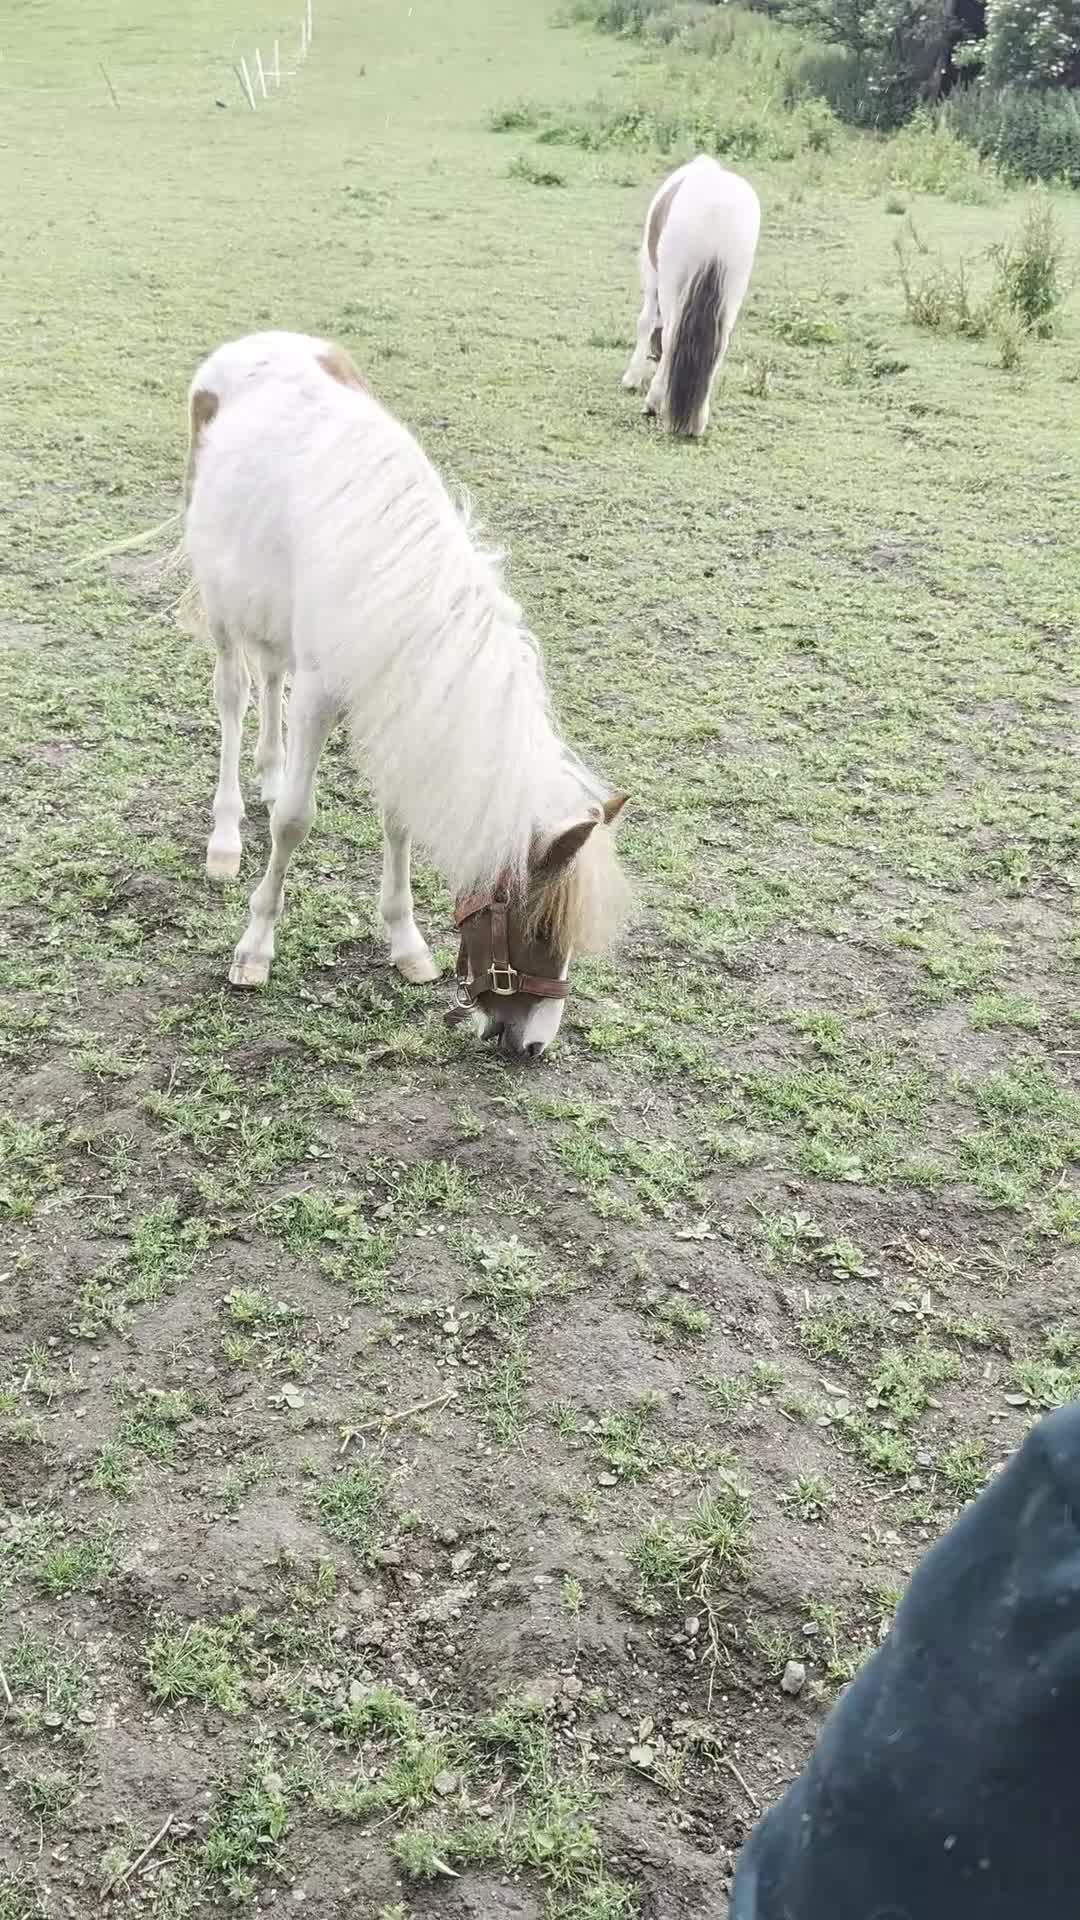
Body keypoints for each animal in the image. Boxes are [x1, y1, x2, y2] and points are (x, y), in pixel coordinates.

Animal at [182, 331, 630, 1059]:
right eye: (539, 930)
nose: (533, 1045)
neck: (399, 588)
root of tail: (253, 344)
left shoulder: (398, 706)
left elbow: (399, 821)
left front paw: (406, 941)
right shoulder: (320, 695)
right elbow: (294, 822)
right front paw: (255, 947)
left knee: (270, 677)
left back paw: (271, 775)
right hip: (223, 606)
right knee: (234, 696)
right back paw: (225, 837)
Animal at [621, 155, 761, 439]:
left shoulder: (652, 278)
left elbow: (645, 323)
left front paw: (632, 378)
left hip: (670, 281)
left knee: (670, 333)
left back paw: (653, 402)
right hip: (733, 289)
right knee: (721, 344)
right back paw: (698, 421)